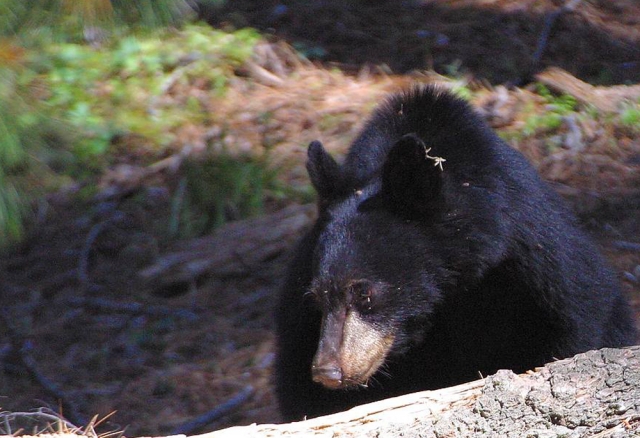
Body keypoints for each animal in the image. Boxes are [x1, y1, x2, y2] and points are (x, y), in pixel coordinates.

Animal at [272, 85, 636, 420]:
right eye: (317, 297)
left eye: (364, 293)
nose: (328, 371)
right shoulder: (298, 319)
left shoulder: (540, 268)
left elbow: (579, 328)